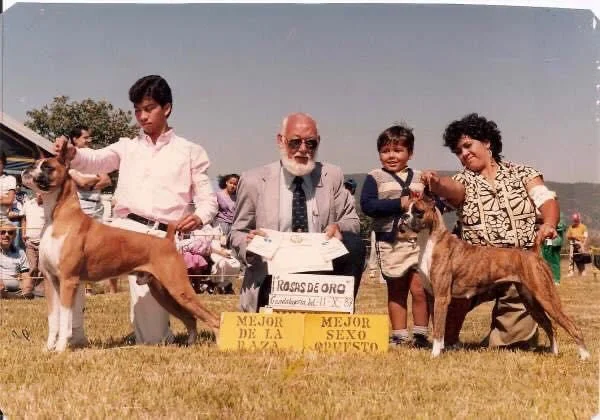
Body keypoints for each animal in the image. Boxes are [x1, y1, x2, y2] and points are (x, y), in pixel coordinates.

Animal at [22, 147, 223, 352]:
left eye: (47, 167)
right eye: (35, 163)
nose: (27, 169)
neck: (57, 217)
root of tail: (167, 241)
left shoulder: (68, 281)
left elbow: (65, 319)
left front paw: (61, 349)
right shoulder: (50, 281)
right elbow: (53, 319)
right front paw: (48, 349)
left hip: (179, 289)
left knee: (212, 318)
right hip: (164, 293)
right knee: (190, 318)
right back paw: (190, 344)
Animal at [404, 195, 592, 360]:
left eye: (418, 211)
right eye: (405, 209)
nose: (404, 217)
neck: (430, 241)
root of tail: (534, 254)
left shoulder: (442, 298)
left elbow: (438, 330)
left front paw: (435, 355)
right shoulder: (432, 297)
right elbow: (437, 325)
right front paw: (439, 350)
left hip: (547, 297)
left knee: (571, 326)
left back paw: (584, 356)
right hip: (531, 301)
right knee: (549, 325)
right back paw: (554, 353)